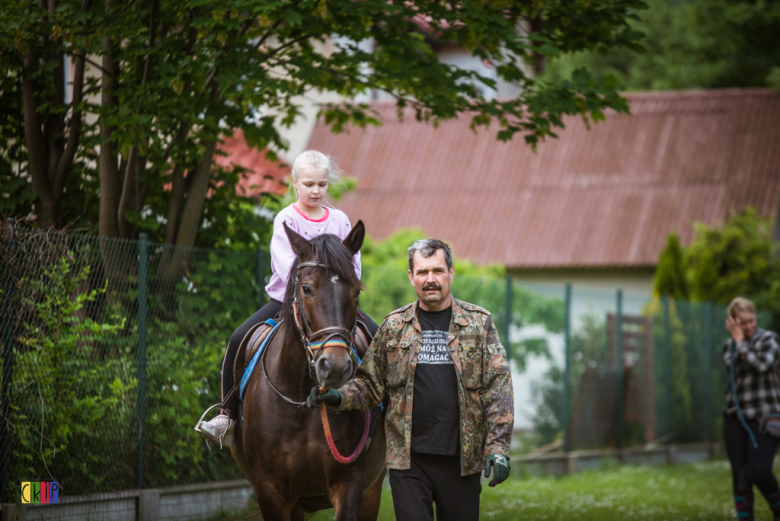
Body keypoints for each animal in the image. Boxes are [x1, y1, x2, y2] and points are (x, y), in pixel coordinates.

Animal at [232, 221, 390, 520]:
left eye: (356, 292)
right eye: (306, 288)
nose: (335, 366)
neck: (302, 399)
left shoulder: (350, 482)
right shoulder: (270, 491)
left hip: (372, 490)